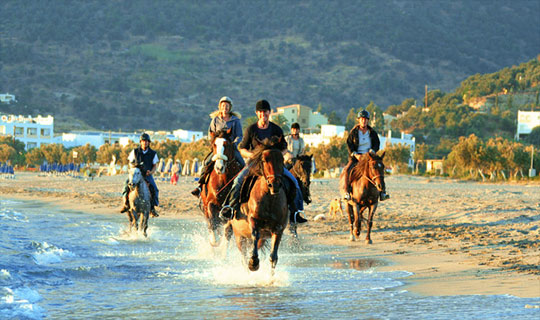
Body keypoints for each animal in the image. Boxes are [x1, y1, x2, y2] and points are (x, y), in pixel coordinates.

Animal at [229, 139, 288, 272]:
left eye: (281, 159)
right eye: (264, 160)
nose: (274, 185)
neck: (270, 200)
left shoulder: (278, 227)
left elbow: (273, 257)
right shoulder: (253, 220)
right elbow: (255, 234)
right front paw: (253, 263)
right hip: (239, 236)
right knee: (244, 256)